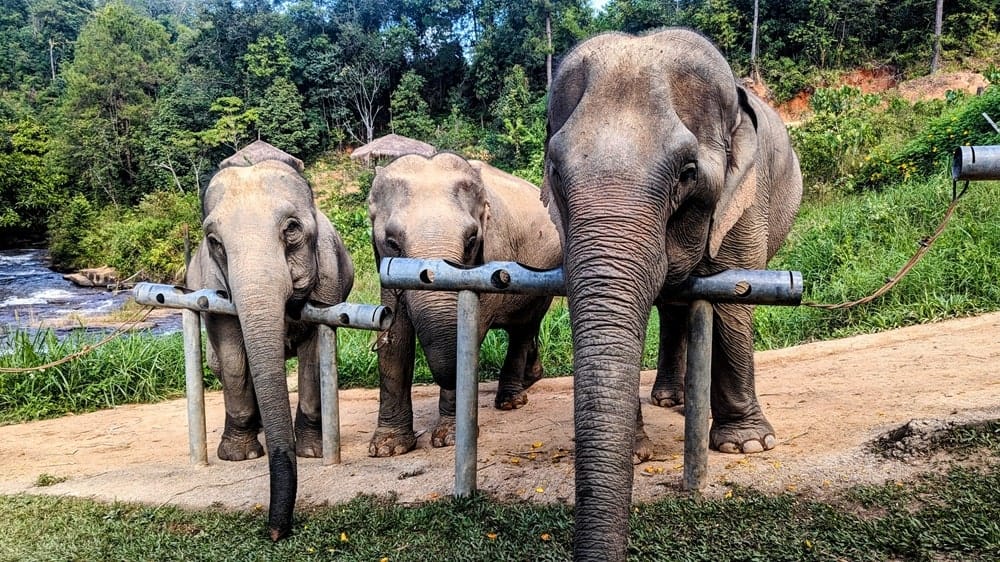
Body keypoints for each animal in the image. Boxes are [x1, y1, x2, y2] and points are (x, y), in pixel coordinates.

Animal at [186, 139, 354, 540]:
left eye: (291, 229)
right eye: (214, 242)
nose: (276, 532)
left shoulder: (329, 276)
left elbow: (313, 356)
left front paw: (311, 451)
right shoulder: (212, 280)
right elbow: (232, 354)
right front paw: (238, 456)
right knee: (220, 363)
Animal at [368, 150, 564, 456]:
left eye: (471, 240)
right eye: (391, 242)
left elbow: (469, 329)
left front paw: (449, 438)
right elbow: (394, 336)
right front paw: (387, 448)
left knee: (523, 328)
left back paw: (510, 401)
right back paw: (531, 378)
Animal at [544, 30, 800, 560]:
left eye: (687, 172)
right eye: (555, 172)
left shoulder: (746, 198)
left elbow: (733, 297)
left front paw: (747, 446)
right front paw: (638, 452)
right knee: (671, 305)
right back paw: (671, 398)